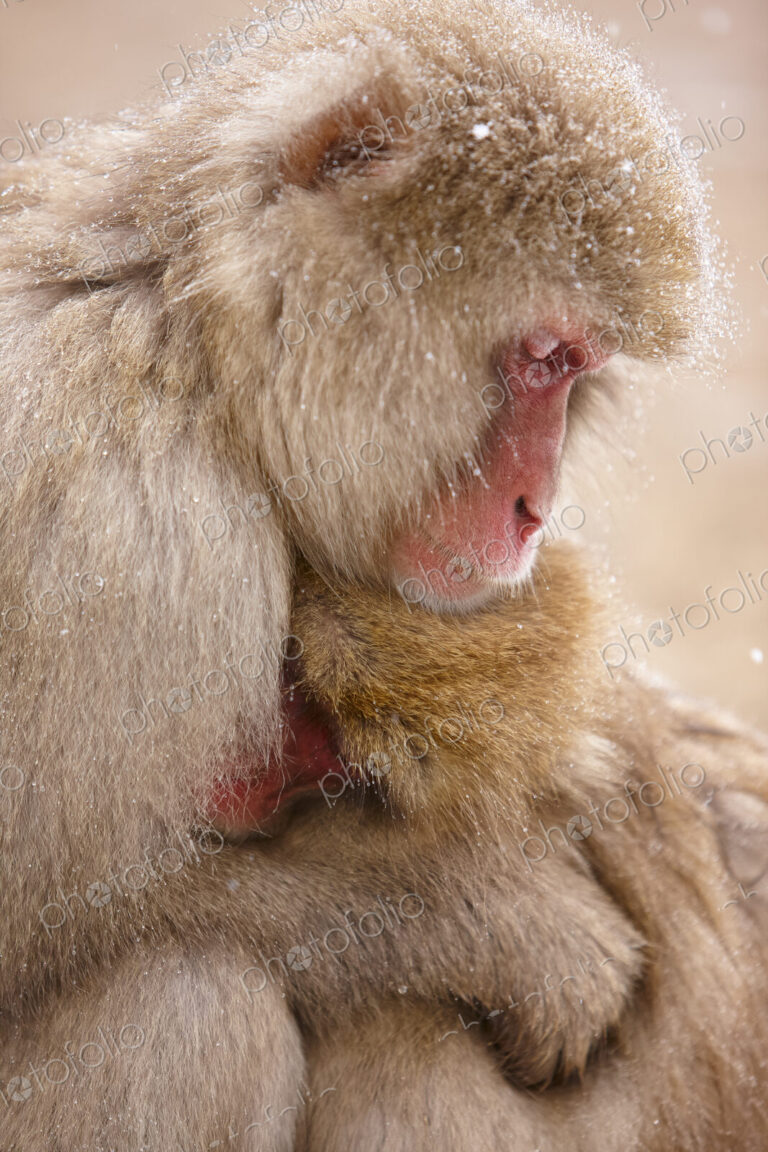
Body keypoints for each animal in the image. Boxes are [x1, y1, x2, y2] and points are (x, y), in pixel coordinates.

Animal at [0, 0, 755, 1146]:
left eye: (577, 372)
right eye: (543, 358)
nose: (535, 508)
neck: (186, 336)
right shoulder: (121, 536)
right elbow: (52, 916)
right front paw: (511, 928)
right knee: (189, 999)